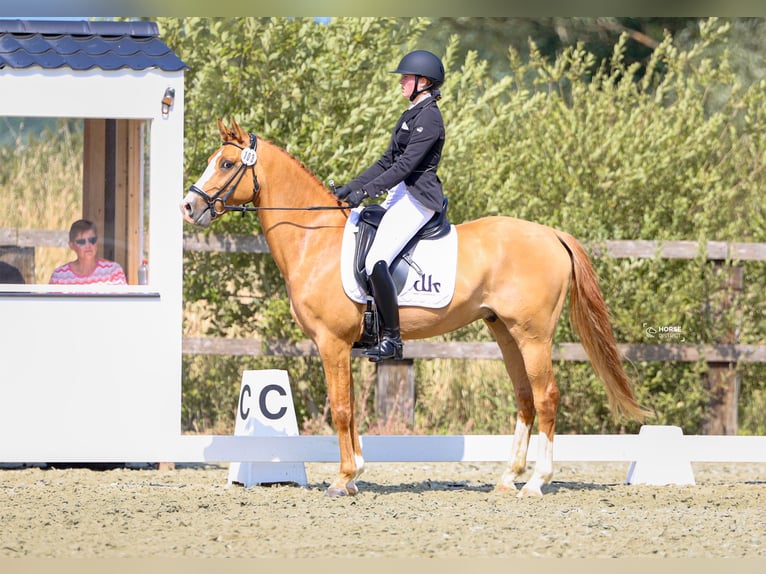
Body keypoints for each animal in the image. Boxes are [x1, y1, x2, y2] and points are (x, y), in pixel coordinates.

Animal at [183, 118, 652, 500]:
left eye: (226, 164)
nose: (189, 207)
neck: (315, 237)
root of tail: (552, 234)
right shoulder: (343, 347)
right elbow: (351, 409)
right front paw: (355, 475)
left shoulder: (332, 343)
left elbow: (341, 409)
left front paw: (342, 479)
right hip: (505, 331)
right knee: (525, 397)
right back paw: (507, 479)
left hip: (533, 335)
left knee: (547, 396)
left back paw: (536, 482)